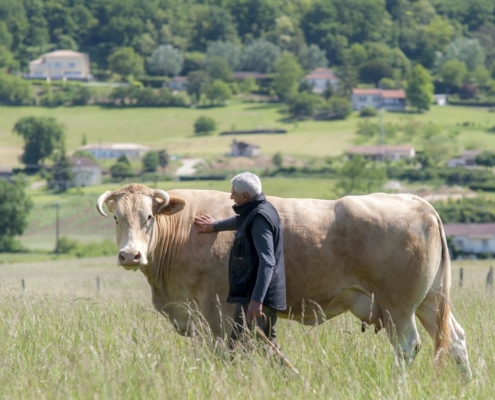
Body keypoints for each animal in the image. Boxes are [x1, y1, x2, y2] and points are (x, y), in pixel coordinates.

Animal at [96, 184, 472, 378]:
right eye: (116, 218)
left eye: (148, 216)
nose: (130, 255)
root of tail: (418, 202)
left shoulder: (216, 310)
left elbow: (223, 351)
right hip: (431, 300)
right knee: (455, 340)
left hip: (399, 306)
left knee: (407, 346)